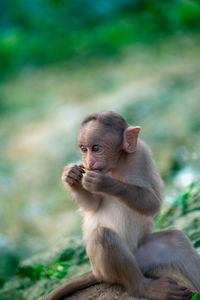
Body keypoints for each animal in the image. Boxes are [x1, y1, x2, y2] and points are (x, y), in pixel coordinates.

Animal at [43, 111, 200, 298]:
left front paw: (104, 183)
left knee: (176, 241)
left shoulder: (142, 154)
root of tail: (95, 272)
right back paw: (142, 288)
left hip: (143, 255)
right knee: (103, 236)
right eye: (83, 148)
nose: (88, 163)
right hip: (106, 270)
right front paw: (71, 175)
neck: (117, 164)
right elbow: (93, 205)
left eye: (96, 148)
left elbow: (153, 202)